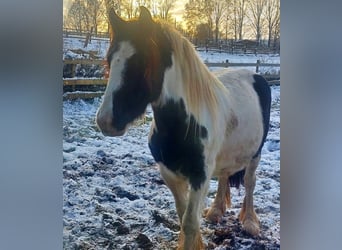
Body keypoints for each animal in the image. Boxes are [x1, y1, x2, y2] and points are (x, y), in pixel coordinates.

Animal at [95, 6, 270, 249]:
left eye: (142, 62)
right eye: (110, 59)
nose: (105, 121)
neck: (183, 126)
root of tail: (254, 74)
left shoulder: (200, 176)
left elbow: (189, 223)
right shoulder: (169, 173)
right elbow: (182, 215)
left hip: (255, 154)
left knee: (249, 183)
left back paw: (250, 222)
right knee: (225, 176)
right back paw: (216, 211)